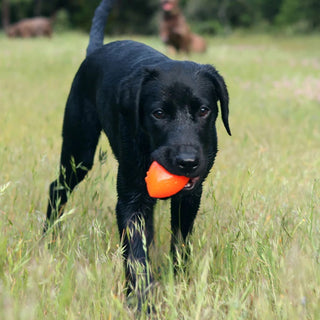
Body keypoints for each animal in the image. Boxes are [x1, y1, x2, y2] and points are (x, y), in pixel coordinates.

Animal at [45, 0, 230, 308]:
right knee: (56, 188)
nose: (187, 162)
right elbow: (135, 254)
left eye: (204, 110)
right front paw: (141, 301)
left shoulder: (190, 196)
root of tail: (95, 51)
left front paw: (178, 281)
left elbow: (180, 243)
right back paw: (48, 238)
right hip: (79, 152)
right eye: (158, 113)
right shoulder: (131, 199)